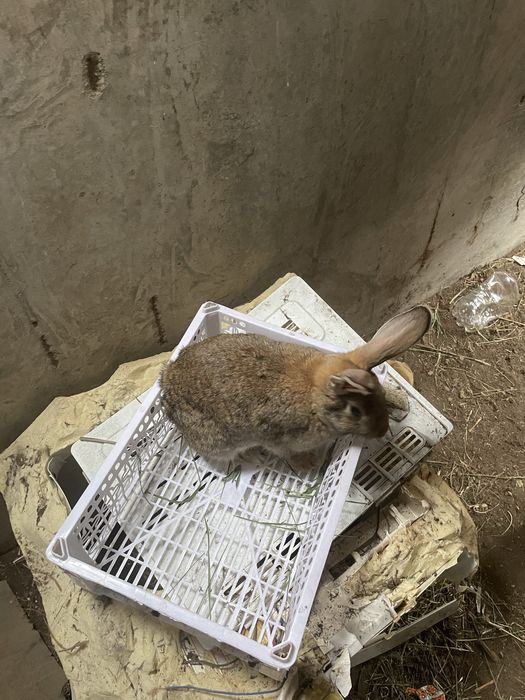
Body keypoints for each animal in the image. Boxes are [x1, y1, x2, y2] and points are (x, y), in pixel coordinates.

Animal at [160, 305, 431, 471]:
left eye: (381, 396)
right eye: (355, 411)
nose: (381, 430)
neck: (315, 398)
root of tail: (167, 382)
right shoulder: (276, 436)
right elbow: (285, 452)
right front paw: (308, 464)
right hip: (221, 440)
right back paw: (252, 456)